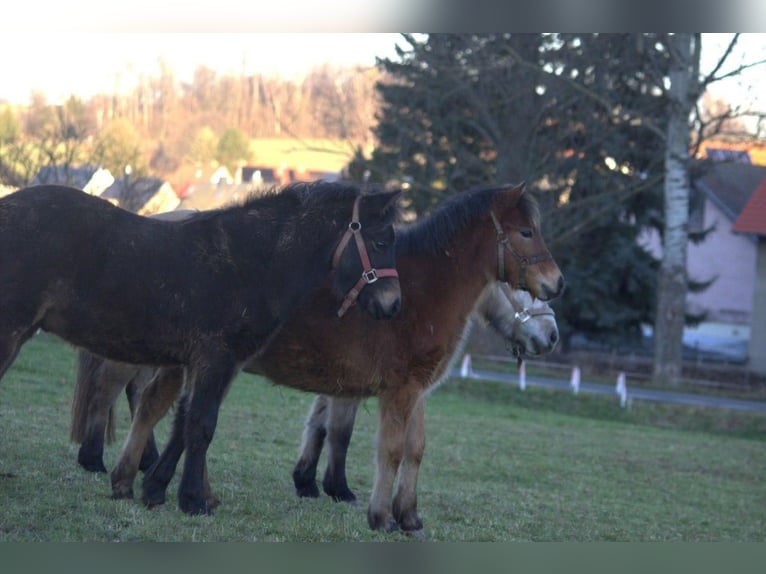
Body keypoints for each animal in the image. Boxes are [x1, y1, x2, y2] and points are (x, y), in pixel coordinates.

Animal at [0, 182, 404, 516]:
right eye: (381, 242)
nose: (393, 305)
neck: (250, 262)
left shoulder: (204, 364)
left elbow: (183, 422)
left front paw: (156, 491)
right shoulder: (216, 358)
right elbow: (201, 425)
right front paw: (192, 501)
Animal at [82, 182, 564, 536]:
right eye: (526, 233)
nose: (556, 287)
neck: (421, 291)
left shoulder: (414, 391)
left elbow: (412, 449)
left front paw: (408, 516)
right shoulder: (398, 390)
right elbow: (385, 449)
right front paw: (380, 516)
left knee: (163, 410)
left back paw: (141, 482)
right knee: (123, 396)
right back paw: (104, 464)